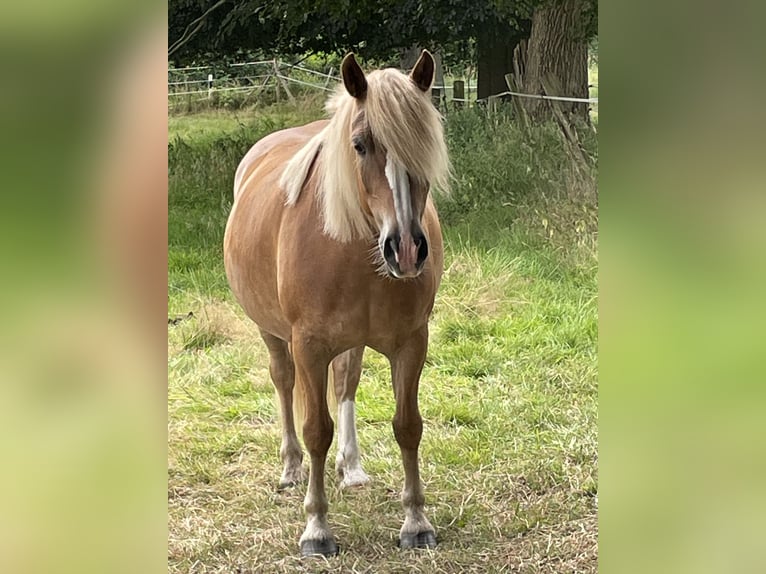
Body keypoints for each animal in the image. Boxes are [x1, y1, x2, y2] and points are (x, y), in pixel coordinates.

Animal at [222, 50, 450, 560]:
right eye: (360, 145)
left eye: (425, 143)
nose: (407, 249)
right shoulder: (308, 345)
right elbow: (315, 430)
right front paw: (317, 529)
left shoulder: (412, 343)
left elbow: (407, 425)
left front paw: (416, 522)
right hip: (274, 334)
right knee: (284, 384)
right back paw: (290, 469)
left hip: (352, 341)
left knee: (346, 383)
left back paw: (352, 467)